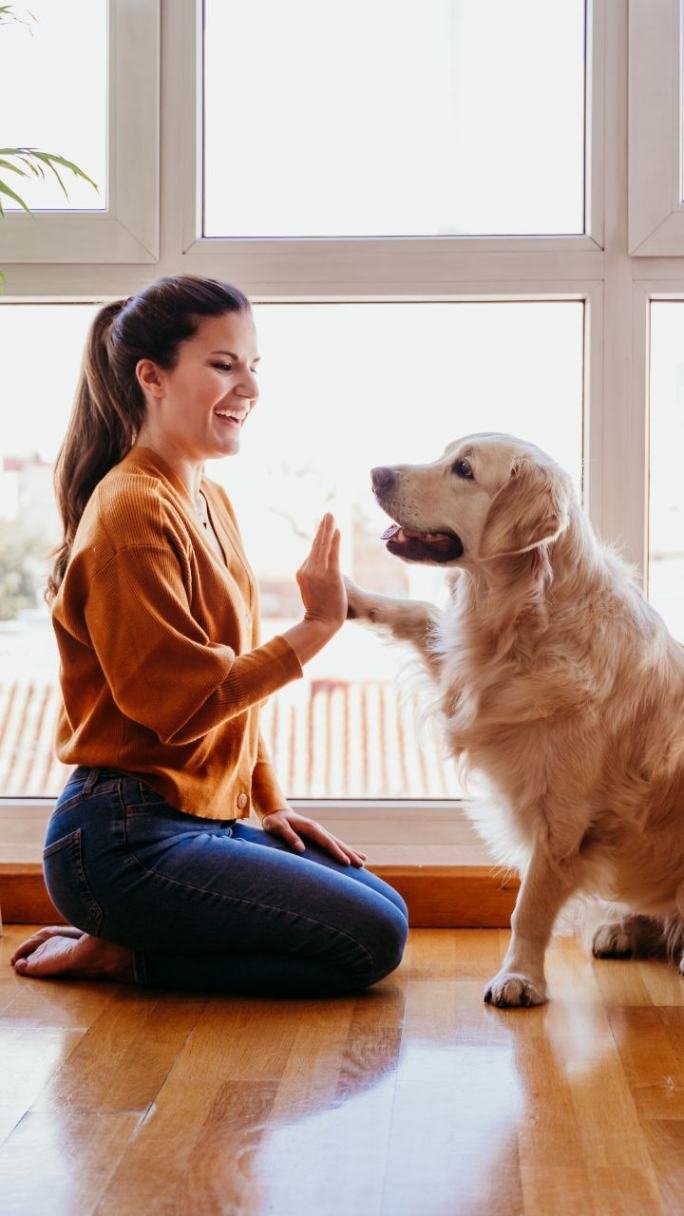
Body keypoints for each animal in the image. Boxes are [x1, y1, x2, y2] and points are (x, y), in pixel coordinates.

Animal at [343, 435, 681, 1006]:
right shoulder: (467, 674)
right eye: (446, 454)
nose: (375, 474)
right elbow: (418, 613)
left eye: (463, 470)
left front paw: (520, 978)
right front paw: (347, 593)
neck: (526, 623)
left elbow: (529, 907)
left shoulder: (561, 818)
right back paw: (622, 929)